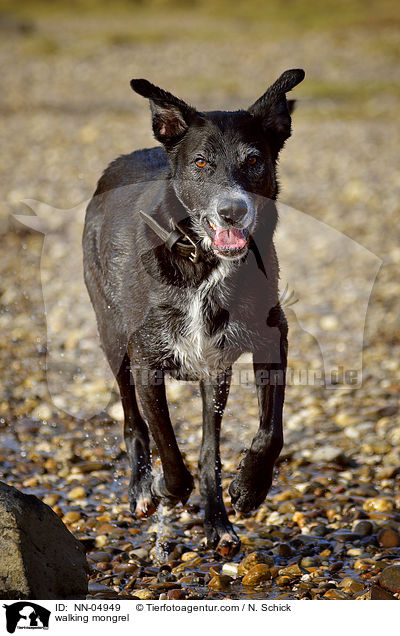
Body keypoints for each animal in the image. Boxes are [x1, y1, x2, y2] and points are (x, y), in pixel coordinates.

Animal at [83, 71, 304, 556]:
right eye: (201, 163)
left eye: (254, 160)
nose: (232, 210)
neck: (204, 261)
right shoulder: (146, 360)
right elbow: (167, 444)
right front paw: (167, 489)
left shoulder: (271, 336)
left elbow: (269, 432)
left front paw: (249, 490)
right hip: (112, 339)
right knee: (132, 421)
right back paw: (143, 489)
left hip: (214, 375)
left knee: (208, 450)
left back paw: (217, 521)